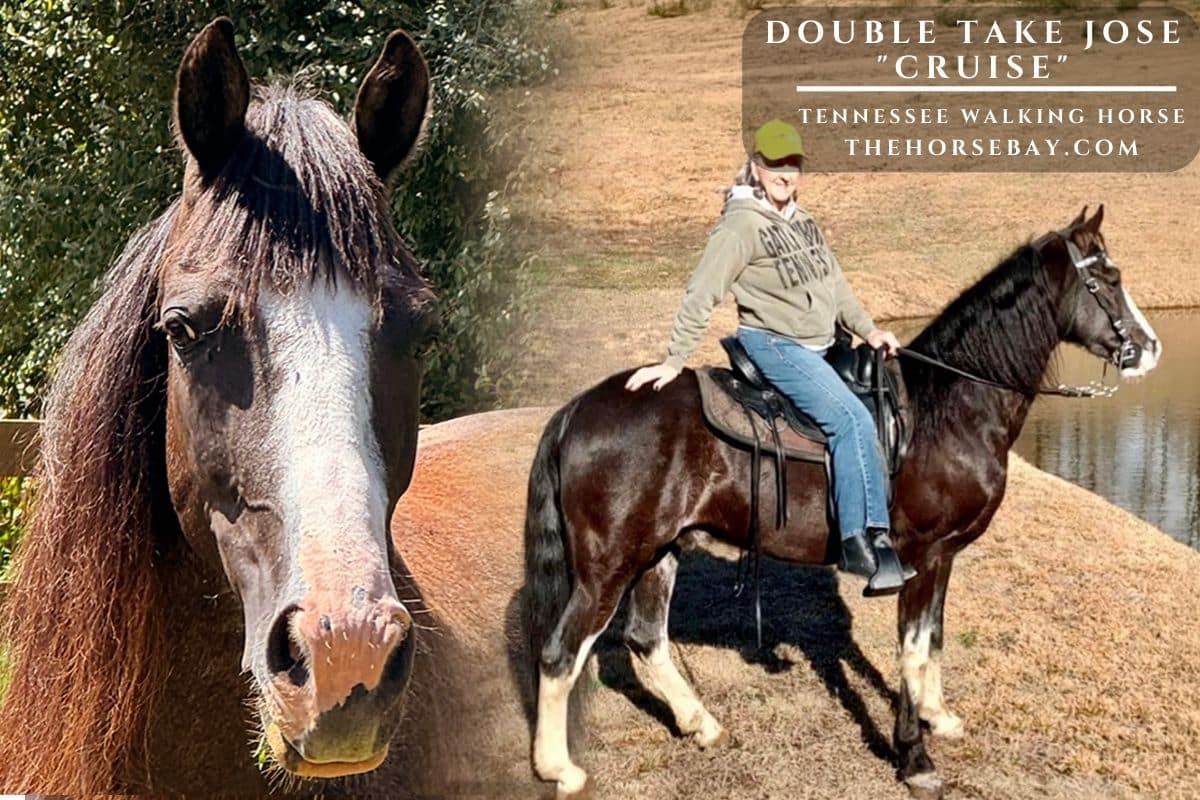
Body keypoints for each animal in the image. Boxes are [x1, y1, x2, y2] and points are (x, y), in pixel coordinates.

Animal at [524, 206, 1162, 798]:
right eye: (1105, 278)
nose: (1149, 348)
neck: (947, 408)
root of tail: (576, 409)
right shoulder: (920, 556)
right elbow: (911, 651)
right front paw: (914, 757)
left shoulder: (945, 557)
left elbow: (934, 637)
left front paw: (938, 716)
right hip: (609, 565)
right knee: (560, 652)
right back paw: (559, 768)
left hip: (660, 552)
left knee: (646, 640)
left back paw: (701, 724)